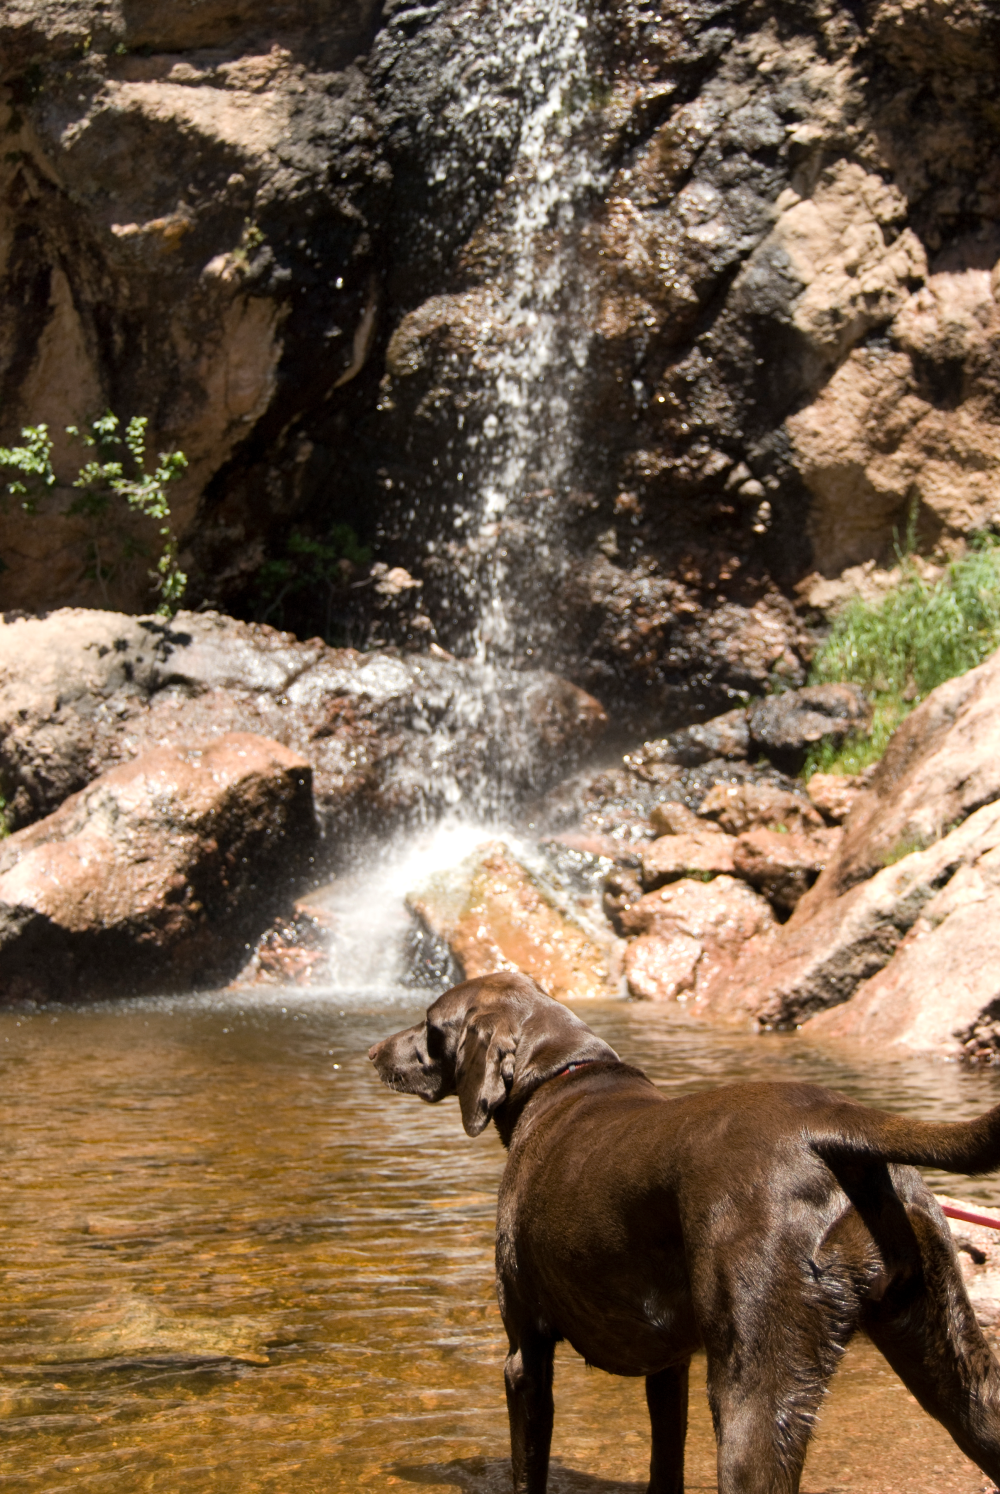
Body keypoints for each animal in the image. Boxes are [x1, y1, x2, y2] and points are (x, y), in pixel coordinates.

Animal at [369, 974, 1000, 1488]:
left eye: (430, 1024)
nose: (373, 1052)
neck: (558, 1076)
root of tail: (832, 1119)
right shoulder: (668, 1368)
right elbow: (664, 1465)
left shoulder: (525, 1356)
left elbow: (530, 1469)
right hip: (958, 1372)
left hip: (752, 1395)